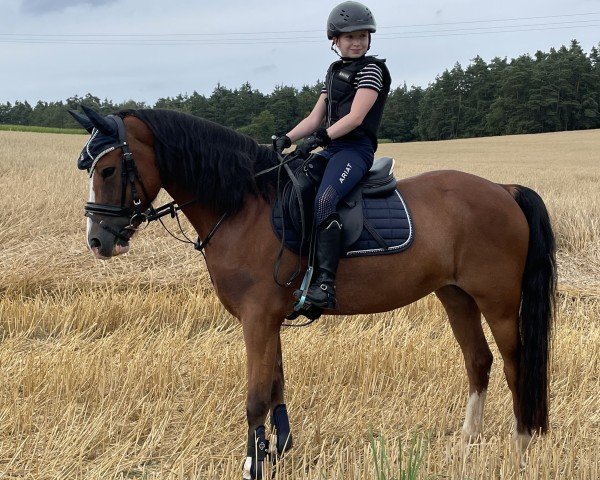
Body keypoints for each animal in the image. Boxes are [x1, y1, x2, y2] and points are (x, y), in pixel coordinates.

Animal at [70, 106, 556, 480]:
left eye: (108, 169)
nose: (97, 240)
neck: (244, 206)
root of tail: (503, 190)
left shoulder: (258, 318)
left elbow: (255, 397)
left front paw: (254, 463)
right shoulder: (269, 319)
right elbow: (276, 385)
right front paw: (278, 450)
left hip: (497, 301)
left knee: (516, 365)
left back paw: (522, 447)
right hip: (455, 295)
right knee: (479, 360)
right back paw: (468, 442)